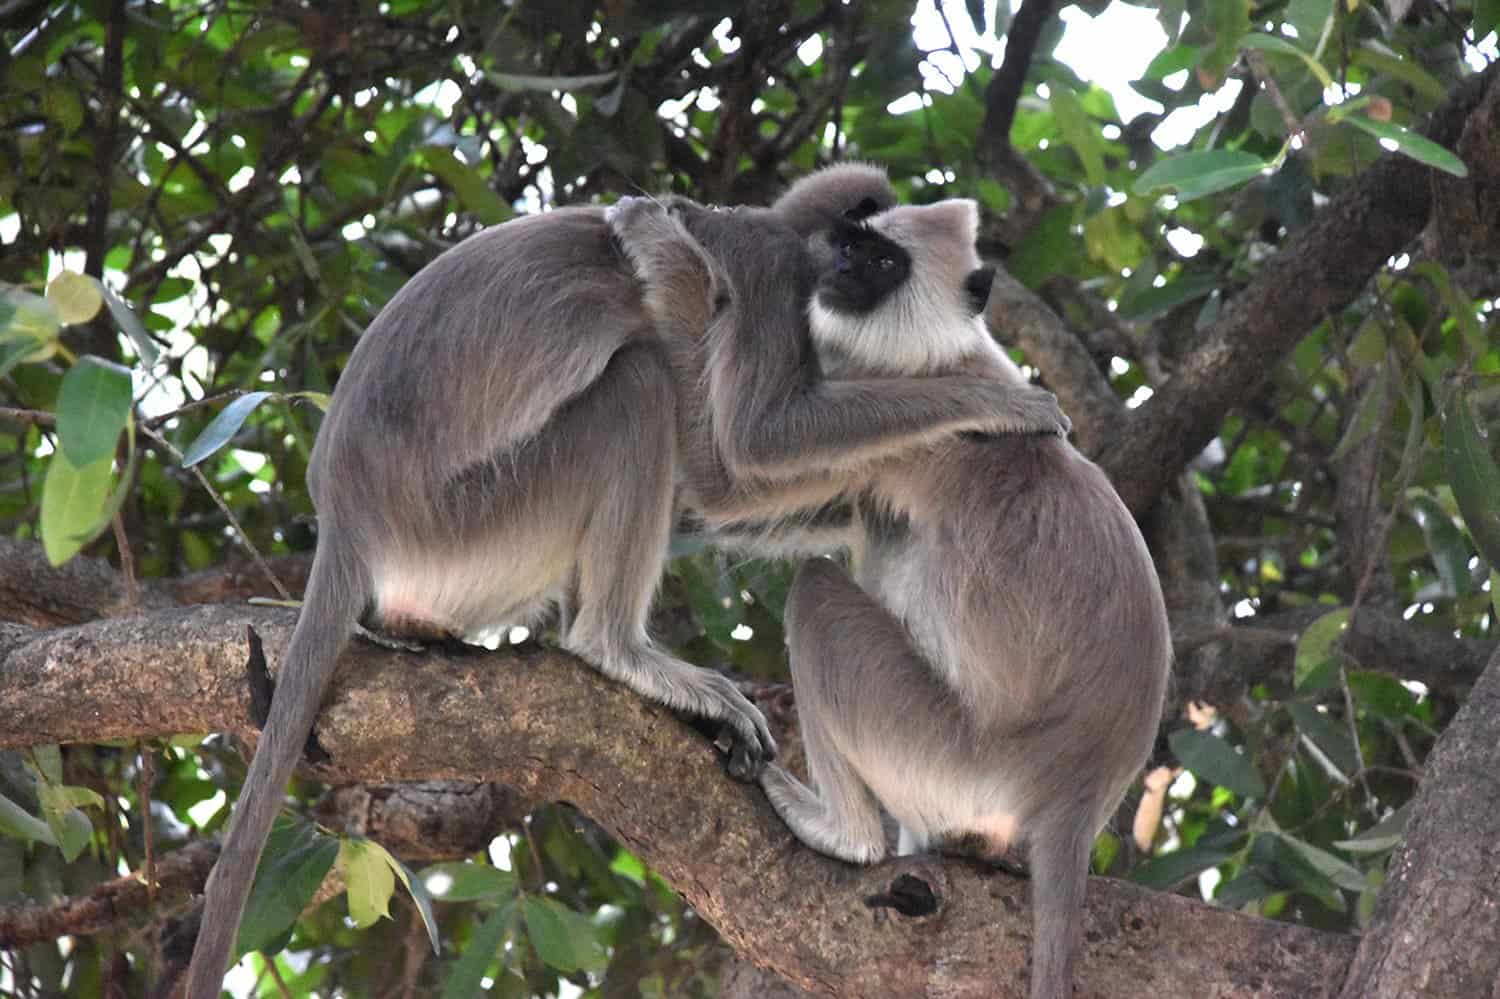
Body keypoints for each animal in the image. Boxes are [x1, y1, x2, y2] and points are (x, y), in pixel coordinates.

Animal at [184, 165, 1072, 995]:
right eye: (862, 246)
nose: (850, 270)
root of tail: (347, 509)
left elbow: (726, 491)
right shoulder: (769, 279)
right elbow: (751, 446)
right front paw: (998, 399)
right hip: (467, 521)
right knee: (638, 385)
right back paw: (617, 649)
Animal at [611, 195, 1171, 999]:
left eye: (881, 262)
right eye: (850, 244)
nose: (837, 270)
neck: (937, 355)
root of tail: (1076, 789)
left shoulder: (920, 447)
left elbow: (735, 467)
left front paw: (673, 238)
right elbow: (717, 502)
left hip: (945, 751)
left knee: (816, 592)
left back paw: (845, 835)